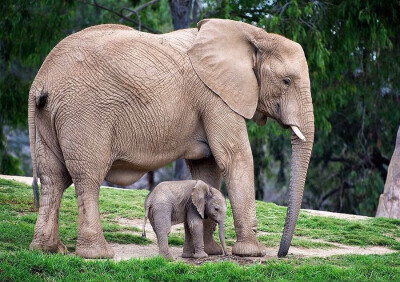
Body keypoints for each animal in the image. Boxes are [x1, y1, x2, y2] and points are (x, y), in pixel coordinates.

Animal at [28, 18, 314, 258]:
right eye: (286, 81)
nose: (281, 254)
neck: (254, 34)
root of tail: (41, 82)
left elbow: (207, 166)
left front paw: (209, 252)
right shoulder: (215, 96)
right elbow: (235, 157)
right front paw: (252, 253)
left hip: (50, 117)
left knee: (54, 177)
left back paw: (48, 250)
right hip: (84, 114)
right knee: (87, 176)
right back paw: (98, 255)